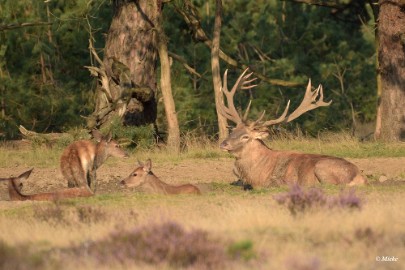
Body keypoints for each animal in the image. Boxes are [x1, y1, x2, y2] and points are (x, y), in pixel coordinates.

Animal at [218, 69, 366, 188]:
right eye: (232, 131)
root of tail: (360, 177)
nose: (223, 144)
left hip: (323, 167)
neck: (256, 174)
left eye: (245, 136)